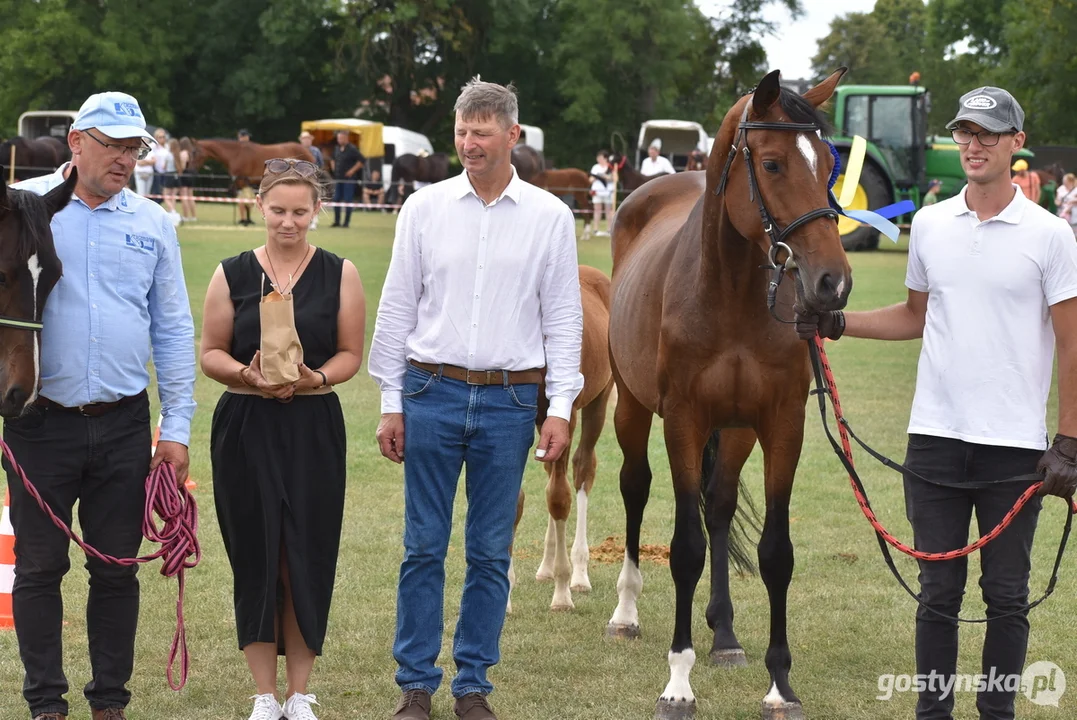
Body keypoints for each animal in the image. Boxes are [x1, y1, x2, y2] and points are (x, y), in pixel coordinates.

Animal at [506, 263, 611, 611]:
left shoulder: (566, 415)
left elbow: (559, 497)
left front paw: (563, 593)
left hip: (597, 403)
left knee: (581, 470)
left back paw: (578, 574)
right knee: (553, 471)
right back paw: (546, 567)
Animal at [607, 67, 848, 718]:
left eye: (830, 164)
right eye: (771, 164)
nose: (833, 283)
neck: (732, 293)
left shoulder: (780, 423)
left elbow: (775, 553)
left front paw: (779, 683)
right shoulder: (683, 421)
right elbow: (685, 547)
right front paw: (678, 681)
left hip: (735, 431)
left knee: (716, 504)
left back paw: (725, 634)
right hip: (633, 409)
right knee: (636, 489)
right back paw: (626, 612)